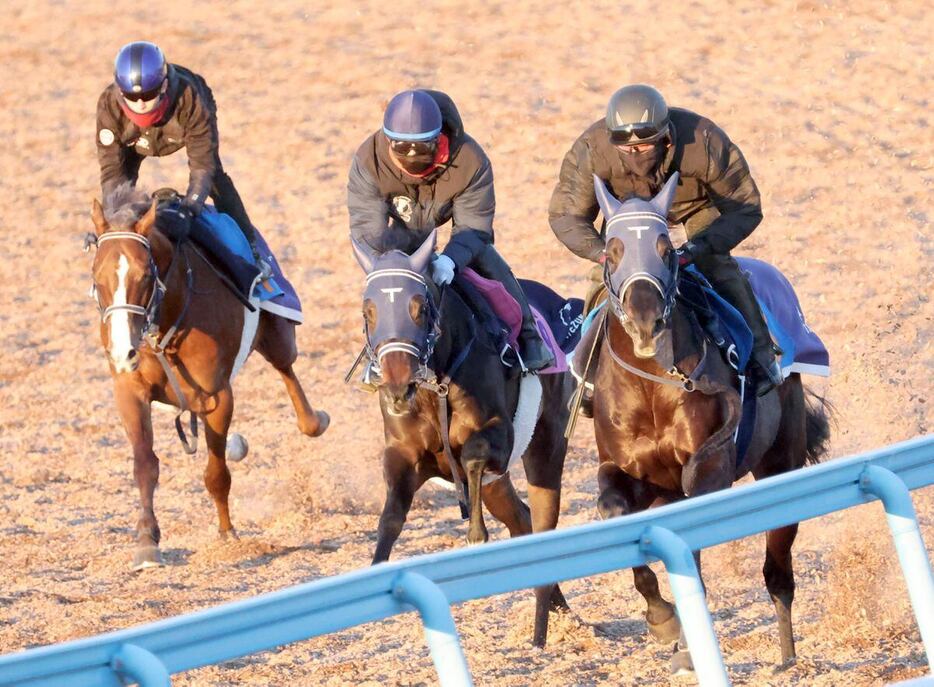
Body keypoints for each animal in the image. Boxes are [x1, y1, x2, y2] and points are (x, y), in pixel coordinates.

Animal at [88, 185, 330, 572]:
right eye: (98, 278)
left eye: (144, 276)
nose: (123, 350)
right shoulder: (129, 389)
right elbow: (145, 465)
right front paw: (146, 541)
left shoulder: (218, 396)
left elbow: (216, 474)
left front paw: (227, 534)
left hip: (278, 336)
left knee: (287, 372)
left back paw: (314, 420)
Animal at [584, 173, 832, 676]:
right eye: (612, 251)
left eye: (665, 248)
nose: (644, 320)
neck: (652, 383)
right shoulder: (625, 471)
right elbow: (617, 516)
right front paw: (662, 619)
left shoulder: (708, 471)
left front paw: (686, 645)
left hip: (781, 463)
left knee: (778, 572)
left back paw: (788, 657)